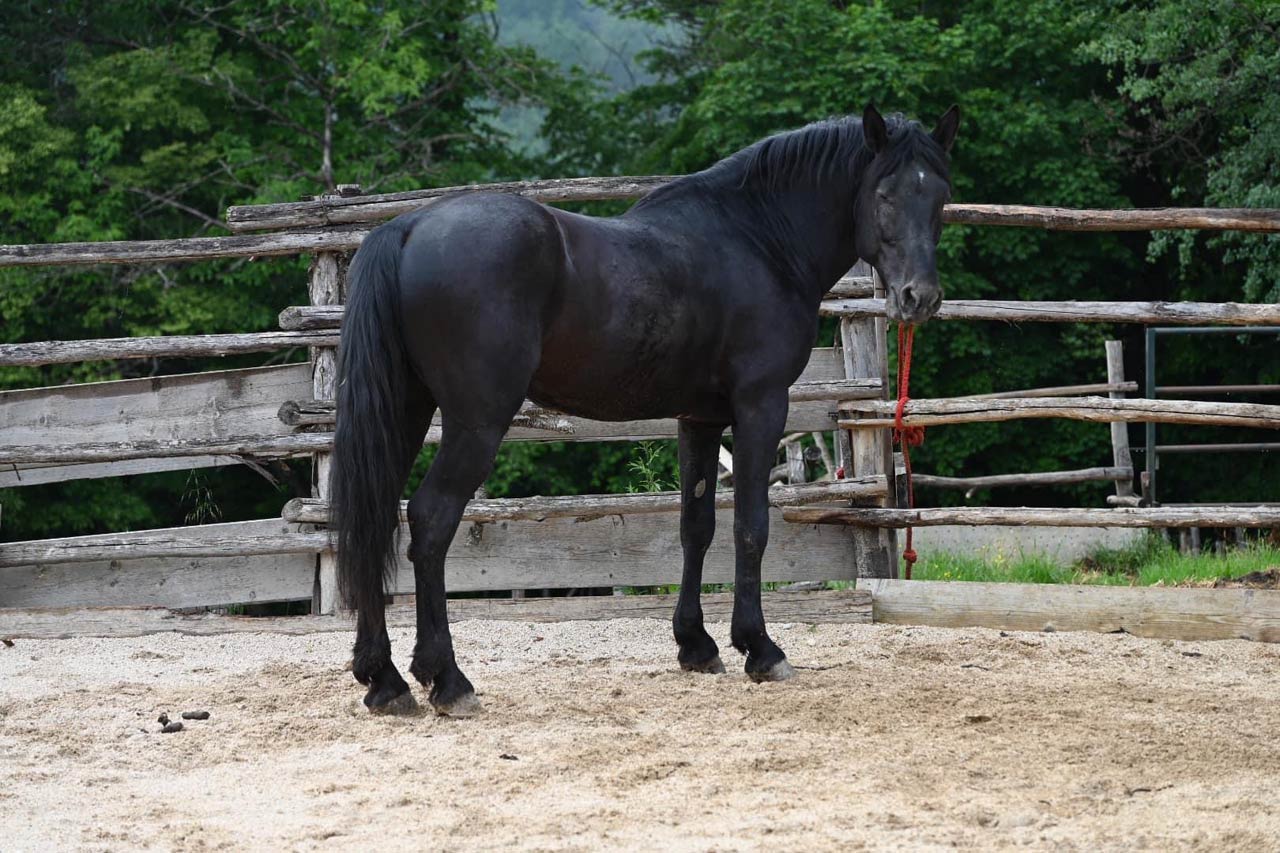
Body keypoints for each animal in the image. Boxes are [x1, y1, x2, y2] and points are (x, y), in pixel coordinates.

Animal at [330, 104, 960, 716]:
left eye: (940, 196)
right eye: (884, 194)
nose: (919, 298)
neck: (759, 241)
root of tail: (407, 228)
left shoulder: (700, 419)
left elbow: (696, 526)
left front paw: (697, 645)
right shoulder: (761, 405)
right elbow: (751, 526)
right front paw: (760, 648)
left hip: (407, 413)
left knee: (375, 520)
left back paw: (384, 681)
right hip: (476, 423)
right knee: (431, 520)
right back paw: (448, 680)